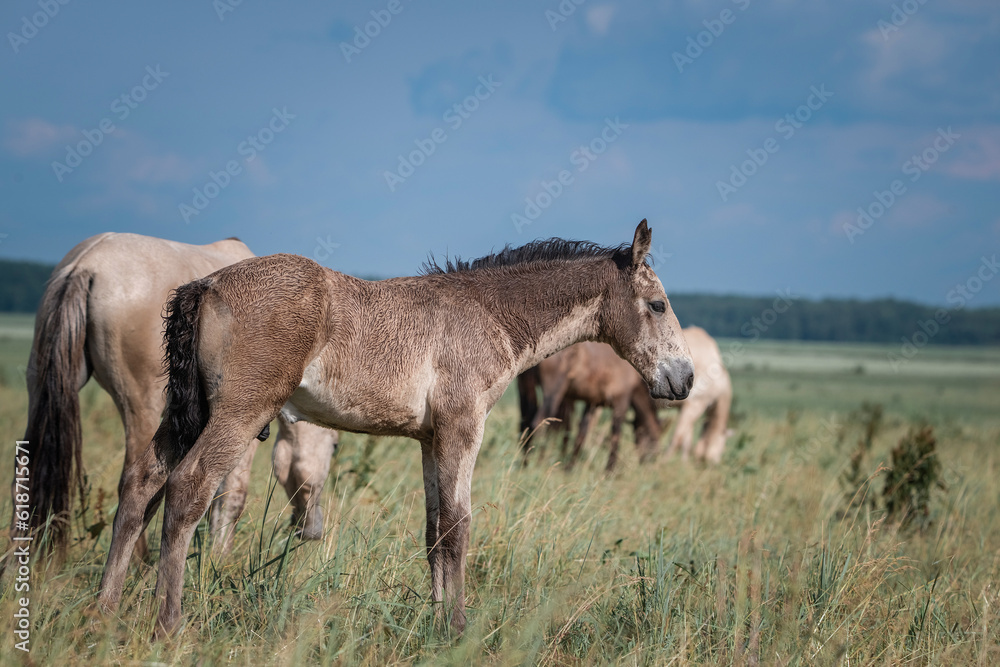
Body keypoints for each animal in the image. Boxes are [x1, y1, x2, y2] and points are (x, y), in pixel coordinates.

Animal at [13, 234, 338, 560]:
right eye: (334, 448)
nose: (311, 530)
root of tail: (86, 263)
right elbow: (231, 496)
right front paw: (219, 559)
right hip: (142, 408)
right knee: (133, 484)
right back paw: (141, 565)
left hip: (40, 387)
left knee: (27, 472)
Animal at [99, 219, 696, 636]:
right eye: (657, 304)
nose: (685, 378)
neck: (486, 314)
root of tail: (207, 284)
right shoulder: (462, 429)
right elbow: (458, 527)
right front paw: (457, 629)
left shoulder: (431, 440)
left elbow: (434, 531)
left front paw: (434, 622)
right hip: (241, 412)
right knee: (188, 488)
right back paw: (168, 625)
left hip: (185, 415)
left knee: (140, 486)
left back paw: (105, 608)